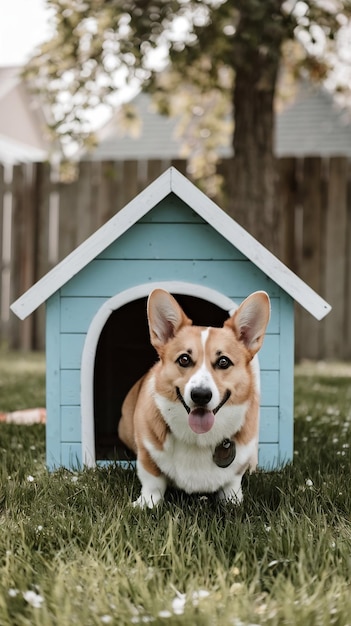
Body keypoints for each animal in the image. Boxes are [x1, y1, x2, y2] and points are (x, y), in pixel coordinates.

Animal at [119, 288, 270, 508]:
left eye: (223, 361)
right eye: (184, 359)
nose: (200, 395)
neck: (198, 439)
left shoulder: (237, 468)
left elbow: (232, 483)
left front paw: (233, 501)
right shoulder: (147, 453)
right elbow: (152, 481)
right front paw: (145, 504)